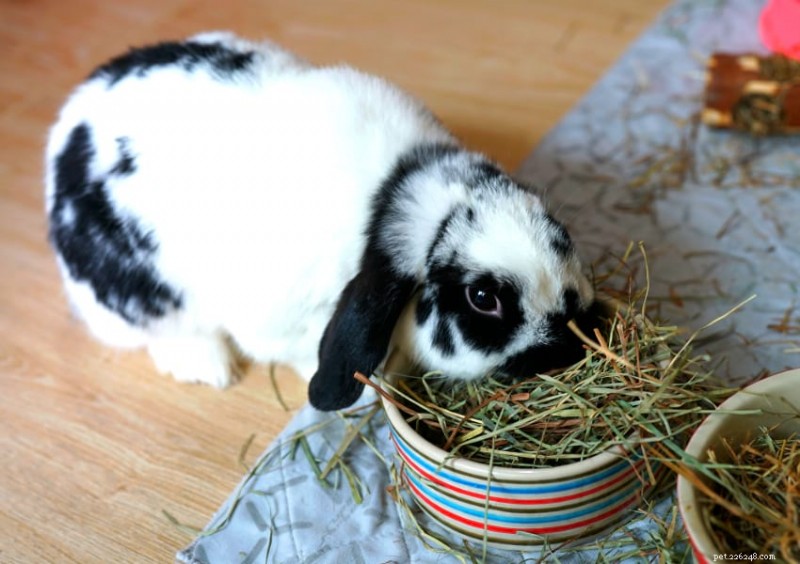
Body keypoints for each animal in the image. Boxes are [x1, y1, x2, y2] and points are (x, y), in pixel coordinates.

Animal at [45, 32, 599, 411]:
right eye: (482, 299)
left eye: (560, 235)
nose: (573, 344)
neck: (392, 189)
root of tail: (65, 129)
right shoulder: (278, 321)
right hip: (138, 299)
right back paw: (206, 365)